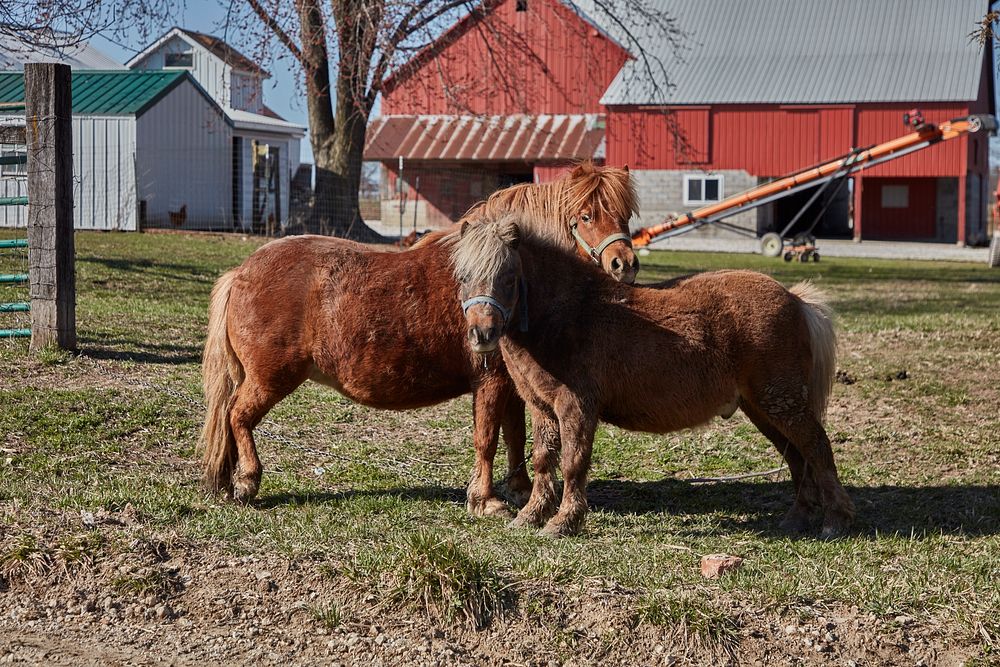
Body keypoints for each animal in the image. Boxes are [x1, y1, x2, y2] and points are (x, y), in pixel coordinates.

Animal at [202, 162, 636, 516]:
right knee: (237, 416)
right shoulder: (490, 381)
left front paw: (519, 490)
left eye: (626, 214)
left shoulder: (510, 385)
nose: (625, 265)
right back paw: (247, 481)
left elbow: (514, 436)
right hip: (270, 378)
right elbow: (486, 439)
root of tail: (241, 273)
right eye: (586, 215)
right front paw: (485, 500)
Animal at [452, 217, 852, 540]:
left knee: (817, 447)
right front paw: (531, 516)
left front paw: (563, 522)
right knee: (797, 455)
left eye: (508, 276)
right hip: (764, 408)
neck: (568, 314)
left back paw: (835, 520)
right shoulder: (543, 409)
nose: (482, 335)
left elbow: (573, 463)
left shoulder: (576, 408)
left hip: (781, 402)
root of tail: (795, 299)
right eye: (463, 277)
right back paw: (798, 518)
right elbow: (541, 460)